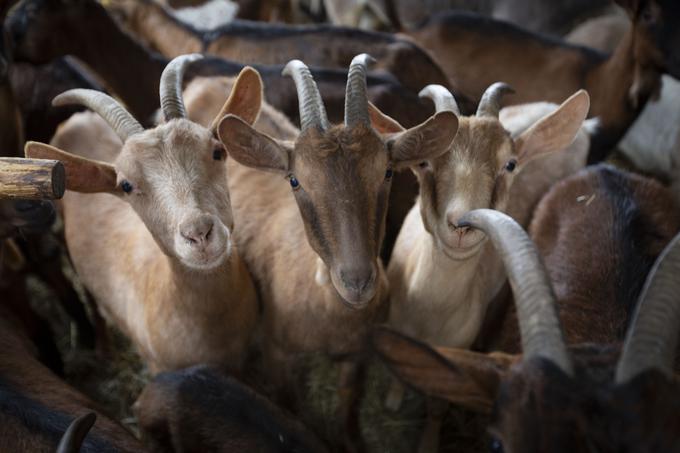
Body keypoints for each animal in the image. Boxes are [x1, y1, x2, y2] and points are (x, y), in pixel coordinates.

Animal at [378, 84, 588, 452]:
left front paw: (428, 442)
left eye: (510, 164)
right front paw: (392, 398)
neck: (427, 313)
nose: (461, 225)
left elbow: (438, 403)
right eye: (424, 162)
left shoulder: (457, 354)